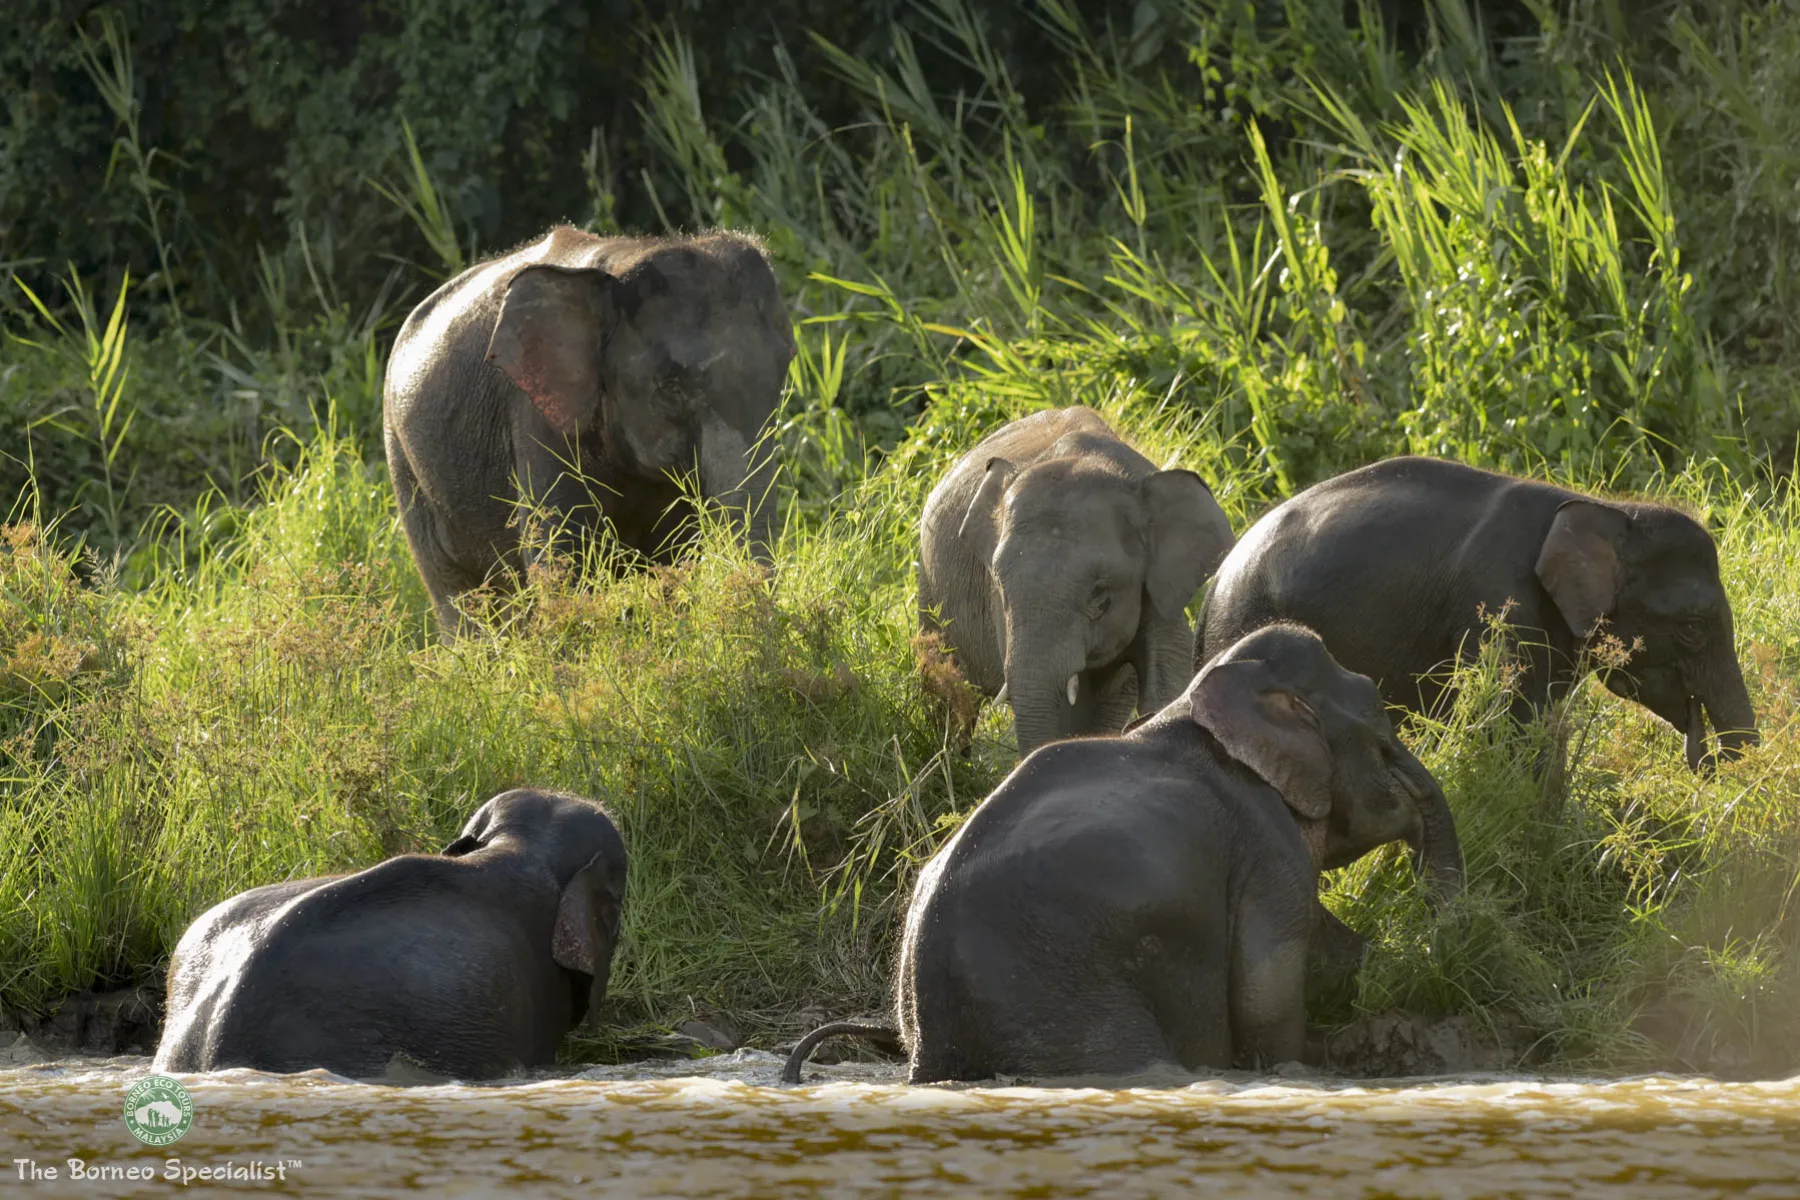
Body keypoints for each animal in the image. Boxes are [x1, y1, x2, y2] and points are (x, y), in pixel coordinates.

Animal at [384, 224, 796, 637]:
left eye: (785, 368)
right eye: (671, 387)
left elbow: (676, 554)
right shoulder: (538, 418)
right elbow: (563, 564)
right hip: (403, 462)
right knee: (458, 596)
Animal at [782, 624, 1463, 1084]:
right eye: (1383, 734)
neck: (1210, 694)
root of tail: (927, 1051)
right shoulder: (1266, 847)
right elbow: (1268, 991)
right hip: (1064, 1001)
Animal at [1196, 457, 1759, 770]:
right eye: (1692, 628)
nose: (1705, 751)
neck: (1604, 507)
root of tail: (1212, 588)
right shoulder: (1500, 601)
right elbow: (1509, 726)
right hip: (1242, 621)